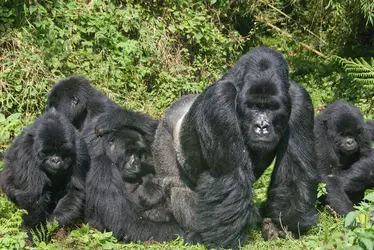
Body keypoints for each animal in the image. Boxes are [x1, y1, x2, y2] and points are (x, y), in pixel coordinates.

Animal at [146, 47, 318, 248]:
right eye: (253, 106)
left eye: (271, 107)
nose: (261, 126)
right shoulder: (220, 98)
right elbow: (230, 177)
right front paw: (226, 241)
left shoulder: (300, 99)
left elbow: (294, 170)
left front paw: (281, 225)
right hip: (163, 134)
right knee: (177, 186)